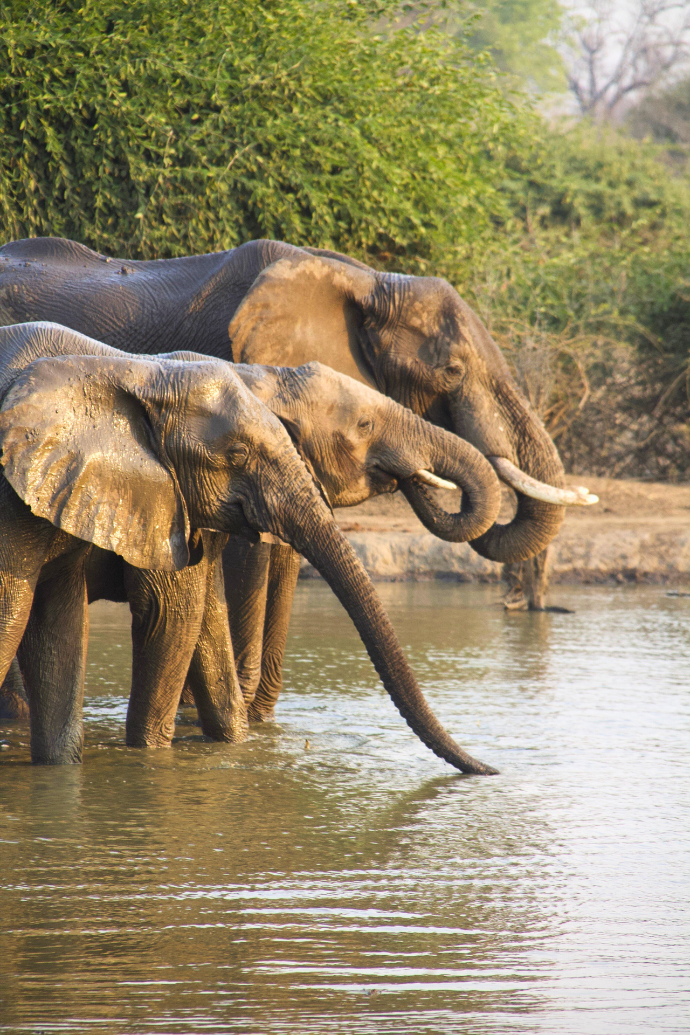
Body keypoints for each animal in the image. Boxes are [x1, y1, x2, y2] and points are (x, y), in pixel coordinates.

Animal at [0, 321, 498, 774]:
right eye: (365, 424)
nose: (491, 769)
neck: (137, 372)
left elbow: (197, 616)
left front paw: (237, 749)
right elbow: (170, 612)